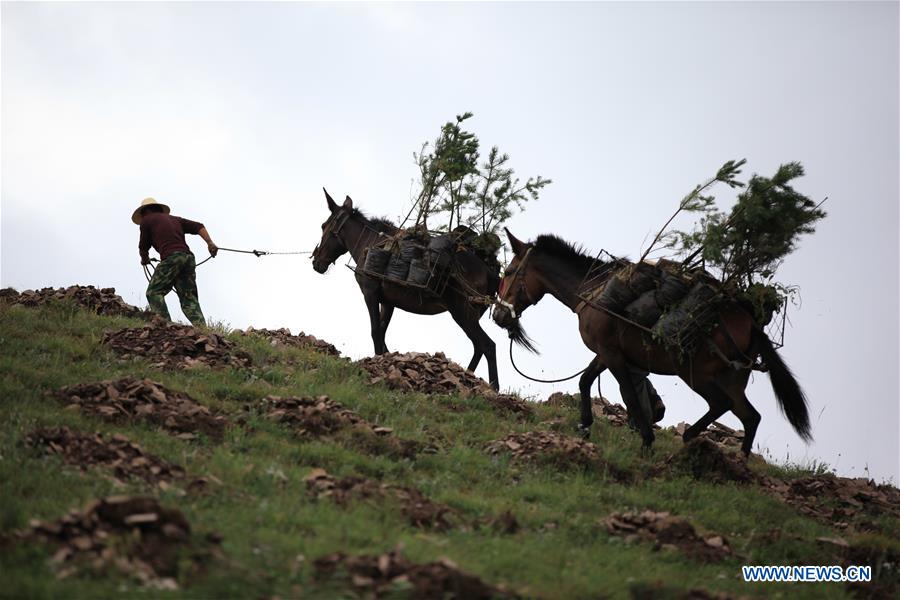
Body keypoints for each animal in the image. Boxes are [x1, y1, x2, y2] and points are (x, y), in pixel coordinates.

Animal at [312, 190, 502, 392]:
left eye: (324, 225)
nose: (317, 262)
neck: (368, 242)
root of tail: (491, 273)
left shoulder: (370, 293)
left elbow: (375, 330)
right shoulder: (388, 302)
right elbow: (382, 331)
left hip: (461, 312)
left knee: (488, 345)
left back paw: (493, 387)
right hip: (471, 315)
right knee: (478, 346)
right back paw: (468, 375)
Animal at [492, 230, 816, 454]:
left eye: (509, 272)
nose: (498, 315)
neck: (592, 291)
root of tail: (751, 322)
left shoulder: (612, 355)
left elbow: (628, 394)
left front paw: (647, 441)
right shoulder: (606, 353)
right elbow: (585, 381)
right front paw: (585, 425)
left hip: (695, 373)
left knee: (722, 404)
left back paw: (691, 438)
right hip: (732, 380)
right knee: (750, 417)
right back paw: (740, 463)